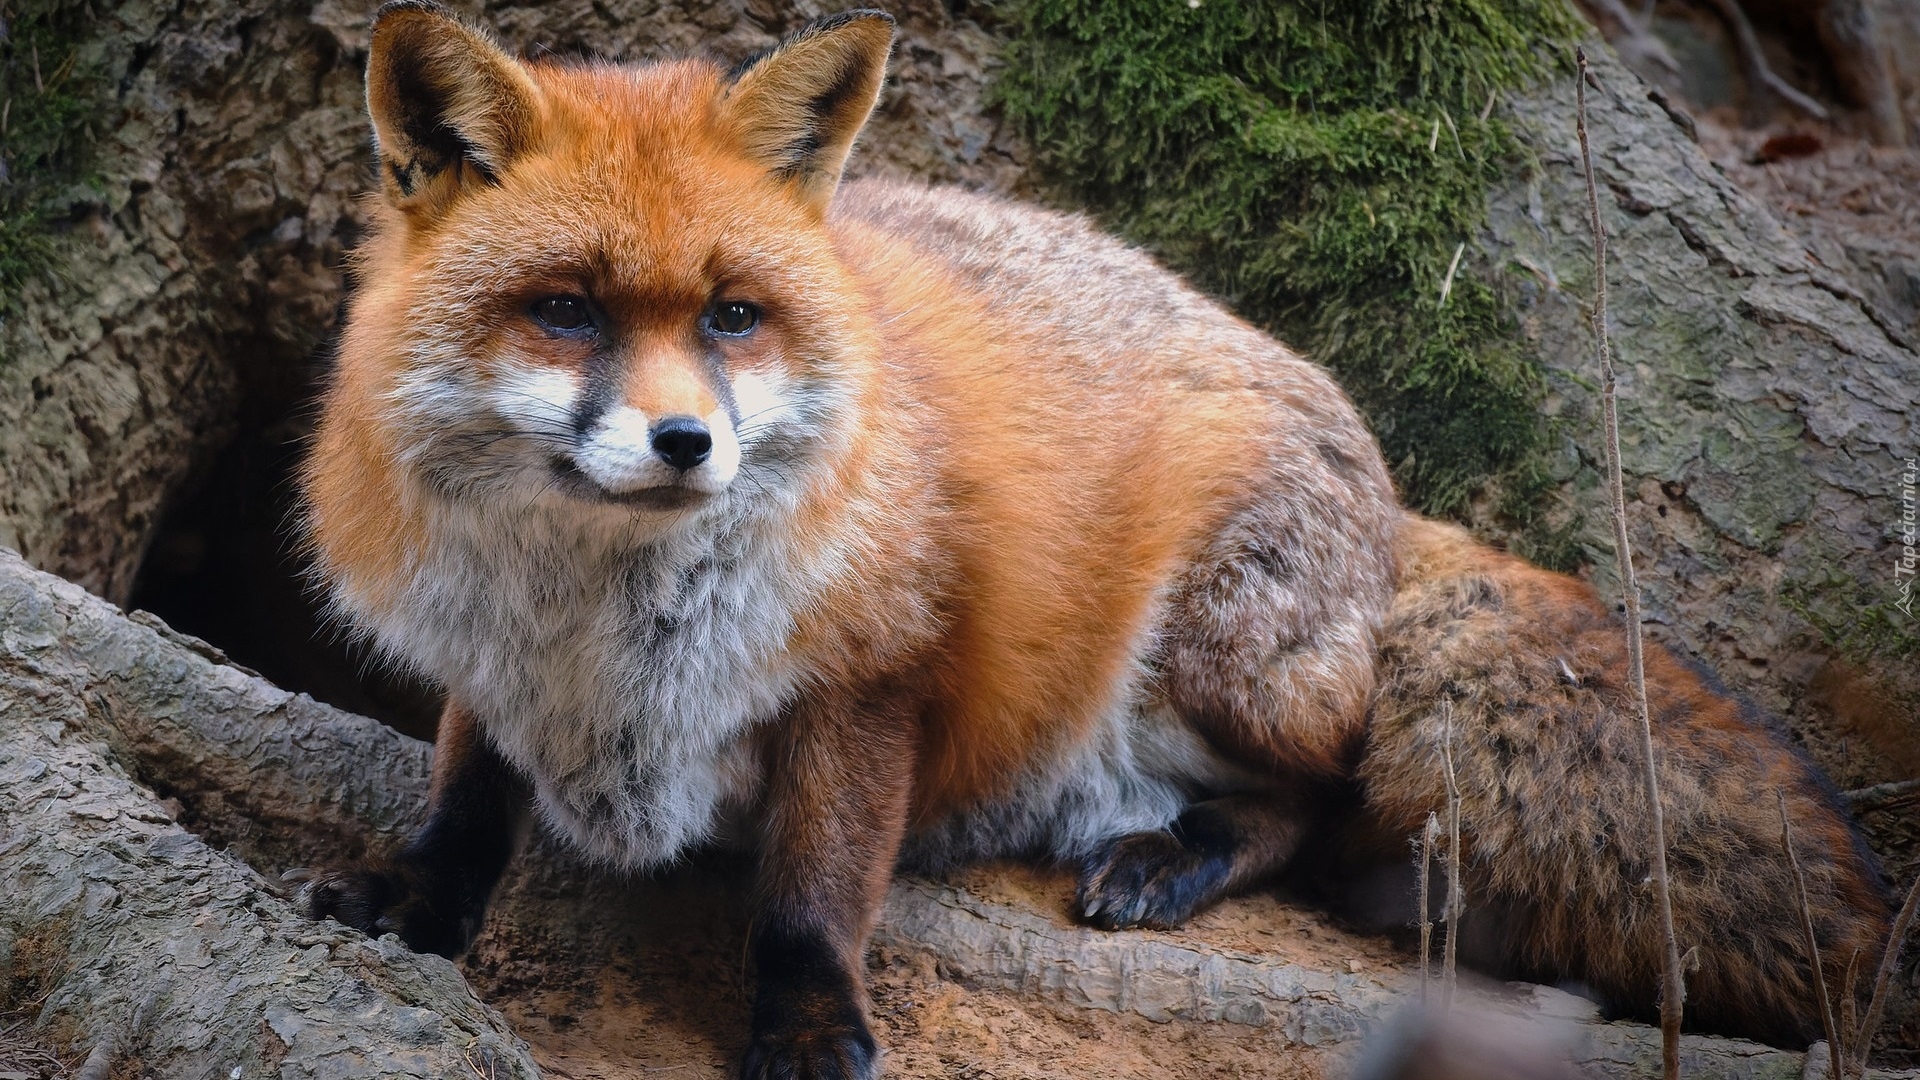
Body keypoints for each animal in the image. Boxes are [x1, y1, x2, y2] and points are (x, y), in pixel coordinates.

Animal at [299, 4, 1889, 1068]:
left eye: (733, 315)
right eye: (566, 310)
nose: (687, 443)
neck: (600, 629)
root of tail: (1382, 488)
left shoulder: (875, 679)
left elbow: (813, 894)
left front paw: (809, 1022)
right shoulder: (492, 661)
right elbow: (466, 796)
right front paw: (414, 891)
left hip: (1221, 663)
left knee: (1327, 797)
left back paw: (1174, 856)